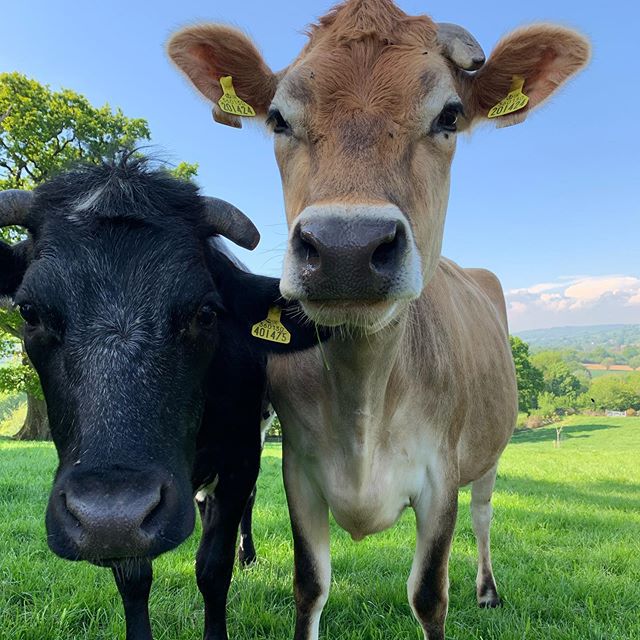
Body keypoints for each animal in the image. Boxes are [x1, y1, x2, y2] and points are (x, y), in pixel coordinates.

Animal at [0, 155, 323, 640]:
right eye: (29, 311)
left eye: (206, 312)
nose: (109, 515)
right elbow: (134, 578)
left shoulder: (241, 457)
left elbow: (213, 568)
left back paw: (247, 555)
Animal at [168, 1, 590, 638]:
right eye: (277, 118)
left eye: (449, 115)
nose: (346, 248)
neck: (365, 394)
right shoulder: (298, 475)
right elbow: (310, 587)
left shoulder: (440, 480)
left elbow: (429, 595)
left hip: (490, 451)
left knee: (485, 514)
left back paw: (488, 590)